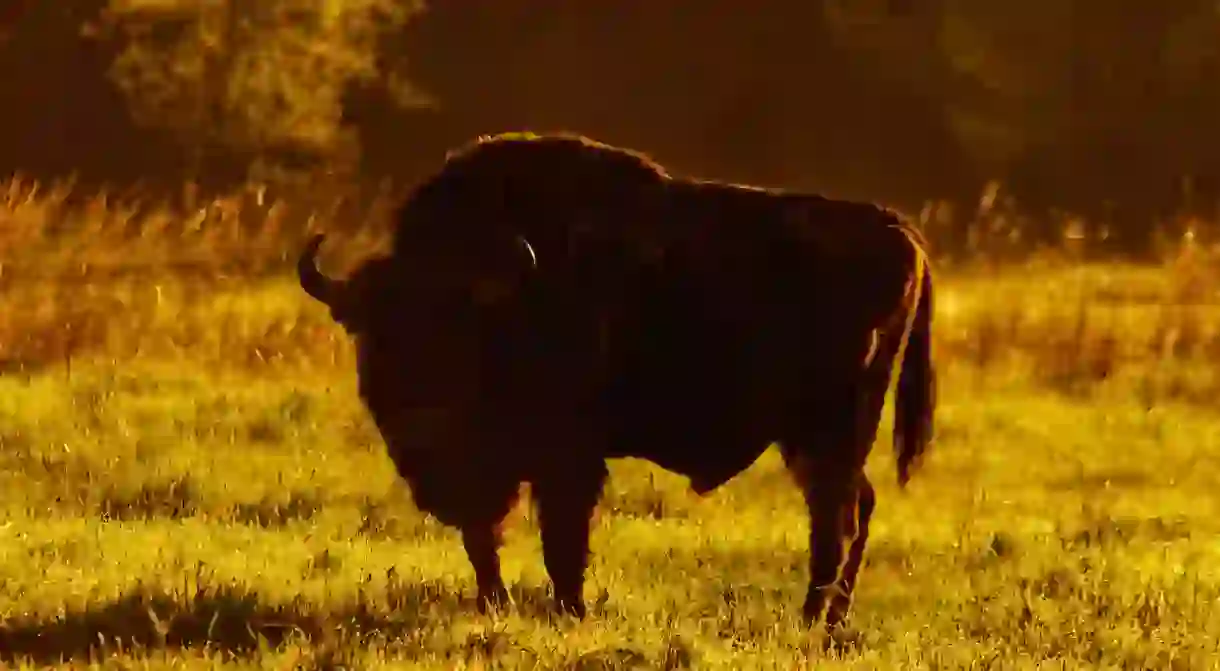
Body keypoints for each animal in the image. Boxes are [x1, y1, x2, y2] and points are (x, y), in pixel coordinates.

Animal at [295, 132, 932, 629]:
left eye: (454, 337)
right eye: (372, 338)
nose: (417, 429)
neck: (510, 294)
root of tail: (897, 230)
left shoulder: (564, 457)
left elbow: (560, 539)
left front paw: (569, 611)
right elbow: (485, 540)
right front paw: (495, 605)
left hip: (828, 430)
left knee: (836, 521)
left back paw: (809, 619)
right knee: (858, 508)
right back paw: (832, 621)